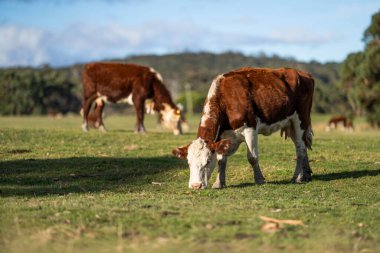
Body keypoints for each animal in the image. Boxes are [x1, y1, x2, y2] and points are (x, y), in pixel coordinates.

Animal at [172, 67, 314, 190]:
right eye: (188, 163)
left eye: (207, 161)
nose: (196, 185)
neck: (225, 99)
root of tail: (303, 73)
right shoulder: (224, 137)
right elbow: (221, 160)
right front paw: (219, 183)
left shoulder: (250, 129)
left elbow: (252, 157)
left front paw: (259, 179)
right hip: (290, 124)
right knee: (302, 145)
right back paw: (306, 175)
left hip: (300, 120)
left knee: (300, 149)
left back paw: (297, 177)